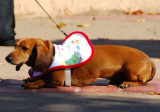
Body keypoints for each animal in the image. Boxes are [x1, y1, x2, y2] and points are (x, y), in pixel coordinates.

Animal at [5, 38, 156, 89]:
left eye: (25, 48)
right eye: (15, 45)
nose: (7, 58)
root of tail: (150, 60)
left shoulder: (57, 80)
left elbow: (42, 80)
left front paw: (32, 83)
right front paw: (29, 78)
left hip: (132, 71)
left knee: (142, 82)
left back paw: (127, 83)